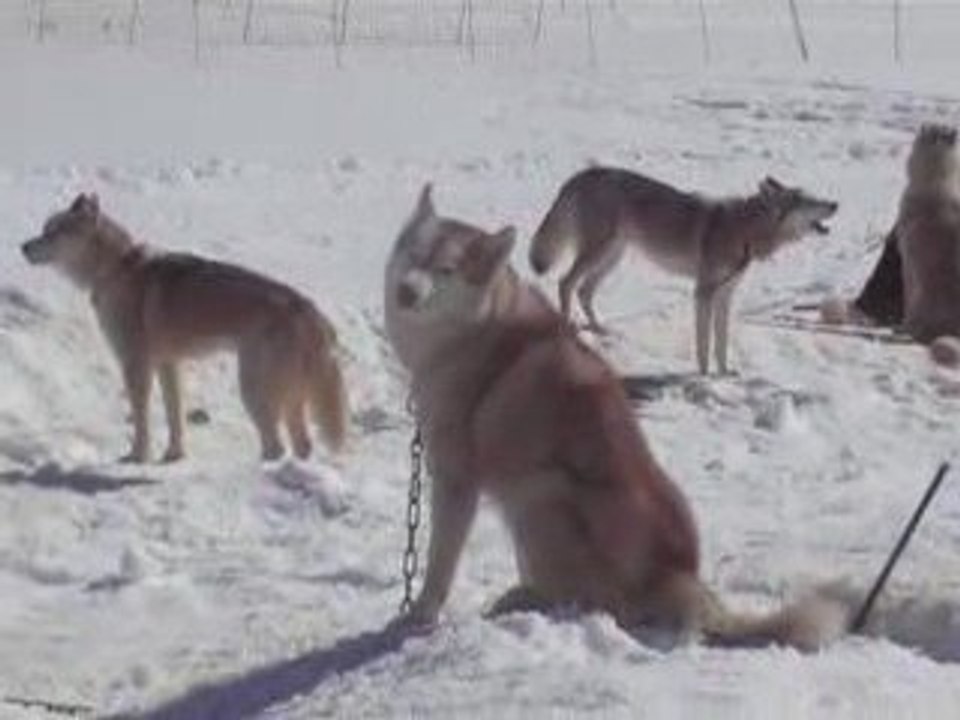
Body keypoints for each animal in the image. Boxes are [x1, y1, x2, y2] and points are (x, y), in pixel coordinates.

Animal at [22, 193, 347, 463]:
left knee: (276, 447)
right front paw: (173, 455)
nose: (22, 246)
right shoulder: (168, 365)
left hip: (255, 388)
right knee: (302, 445)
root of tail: (308, 308)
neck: (117, 268)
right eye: (45, 228)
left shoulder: (136, 365)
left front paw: (137, 457)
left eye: (53, 231)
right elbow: (174, 415)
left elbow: (141, 420)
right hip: (290, 395)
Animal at [529, 167, 838, 374]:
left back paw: (601, 330)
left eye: (817, 198)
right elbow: (703, 344)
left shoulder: (724, 296)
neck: (744, 231)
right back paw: (569, 330)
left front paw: (725, 375)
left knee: (584, 291)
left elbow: (721, 343)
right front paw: (704, 378)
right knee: (565, 283)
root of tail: (584, 172)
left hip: (611, 258)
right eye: (808, 202)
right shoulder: (703, 292)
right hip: (598, 254)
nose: (835, 203)